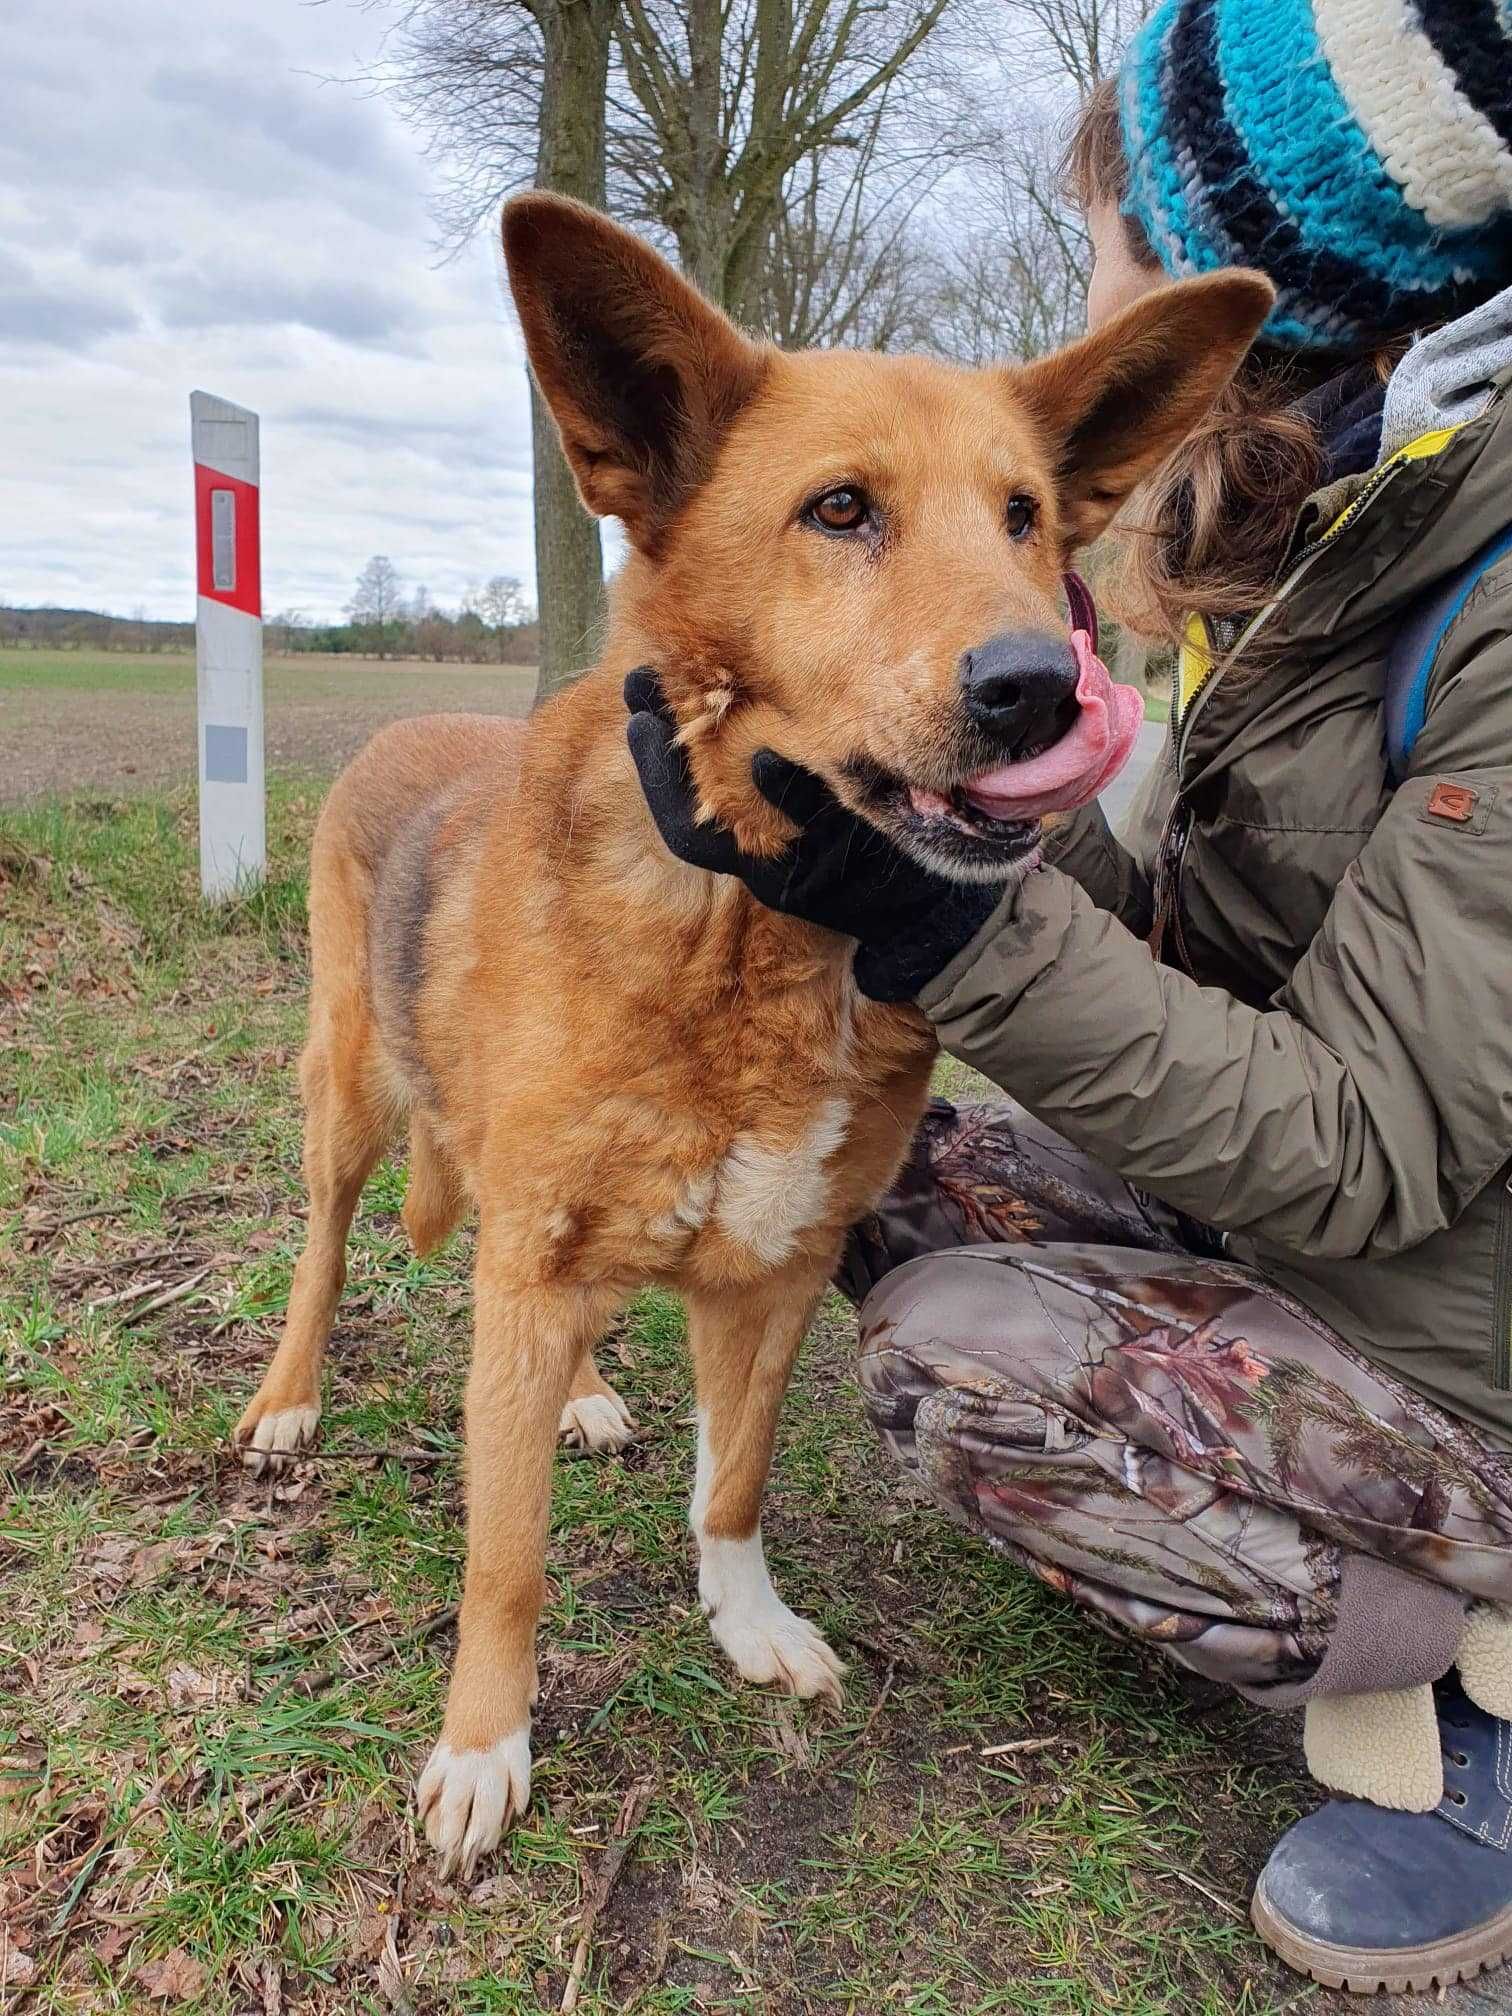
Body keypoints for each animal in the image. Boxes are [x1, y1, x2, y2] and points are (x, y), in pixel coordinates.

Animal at [233, 196, 1282, 1878]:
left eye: (1026, 520)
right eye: (840, 509)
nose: (1041, 687)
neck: (762, 935)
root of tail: (408, 725)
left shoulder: (778, 1272)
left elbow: (733, 1483)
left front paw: (747, 1624)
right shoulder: (532, 1261)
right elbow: (507, 1554)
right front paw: (484, 1746)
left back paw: (586, 1393)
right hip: (351, 1101)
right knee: (326, 1250)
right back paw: (288, 1401)